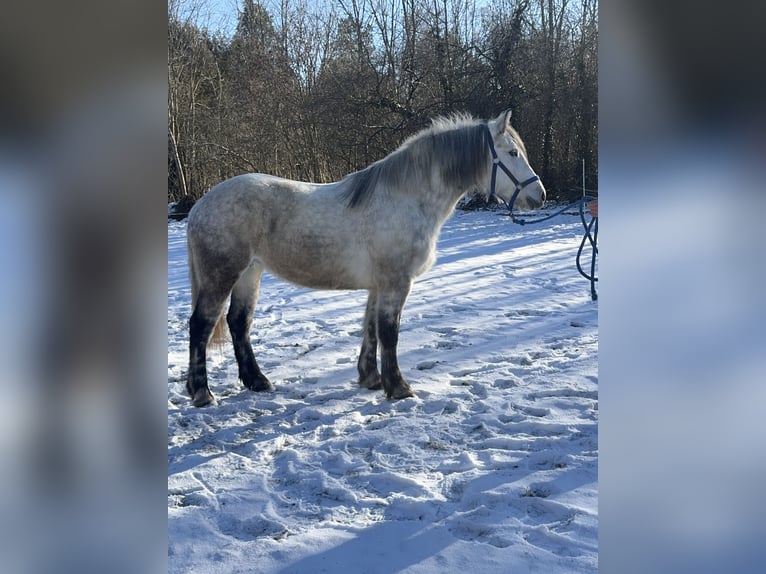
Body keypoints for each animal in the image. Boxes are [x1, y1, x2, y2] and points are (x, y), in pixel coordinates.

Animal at [185, 109, 546, 407]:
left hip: (250, 273)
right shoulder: (395, 283)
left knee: (238, 323)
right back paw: (202, 393)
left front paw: (372, 379)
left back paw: (257, 381)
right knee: (201, 325)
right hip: (222, 275)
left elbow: (370, 328)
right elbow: (389, 332)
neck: (407, 199)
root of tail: (199, 206)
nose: (539, 196)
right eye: (512, 153)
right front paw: (399, 387)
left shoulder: (379, 284)